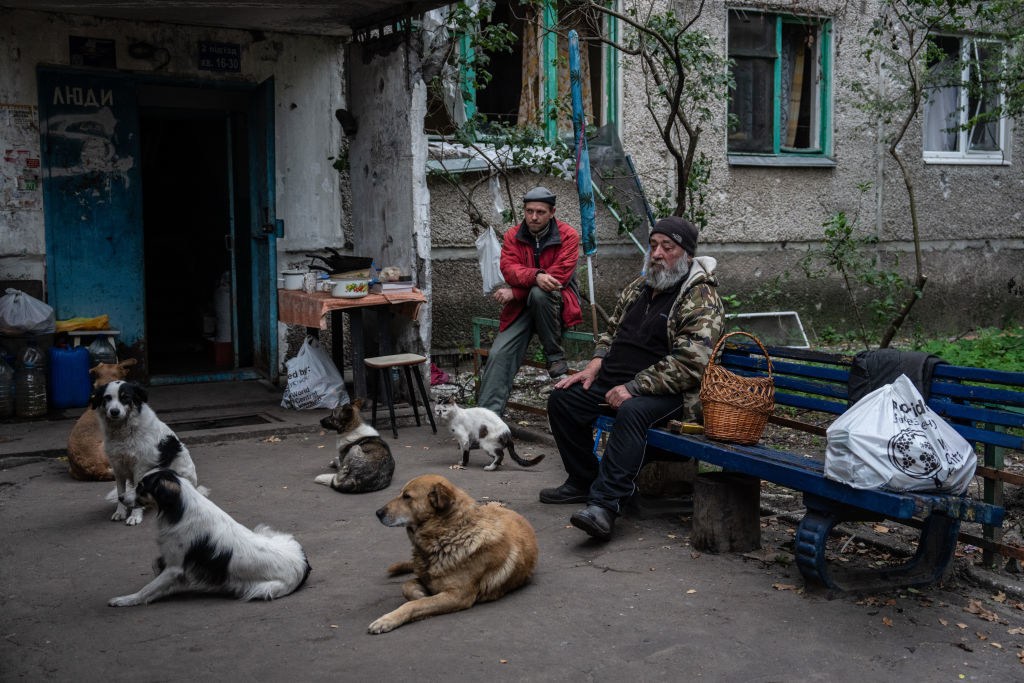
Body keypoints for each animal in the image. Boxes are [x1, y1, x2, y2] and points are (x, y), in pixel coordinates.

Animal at [92, 382, 203, 528]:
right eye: (107, 398)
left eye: (125, 397)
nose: (114, 412)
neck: (123, 432)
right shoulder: (118, 467)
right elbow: (120, 491)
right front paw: (120, 512)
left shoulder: (140, 467)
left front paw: (135, 516)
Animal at [109, 471, 311, 610]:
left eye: (141, 487)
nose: (120, 497)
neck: (180, 509)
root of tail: (304, 564)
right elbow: (156, 567)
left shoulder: (175, 567)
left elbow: (148, 588)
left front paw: (126, 599)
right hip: (269, 533)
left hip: (265, 588)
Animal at [370, 473, 540, 634]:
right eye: (401, 494)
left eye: (407, 496)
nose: (377, 513)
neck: (449, 533)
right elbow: (407, 586)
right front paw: (420, 594)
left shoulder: (459, 595)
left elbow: (414, 605)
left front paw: (388, 619)